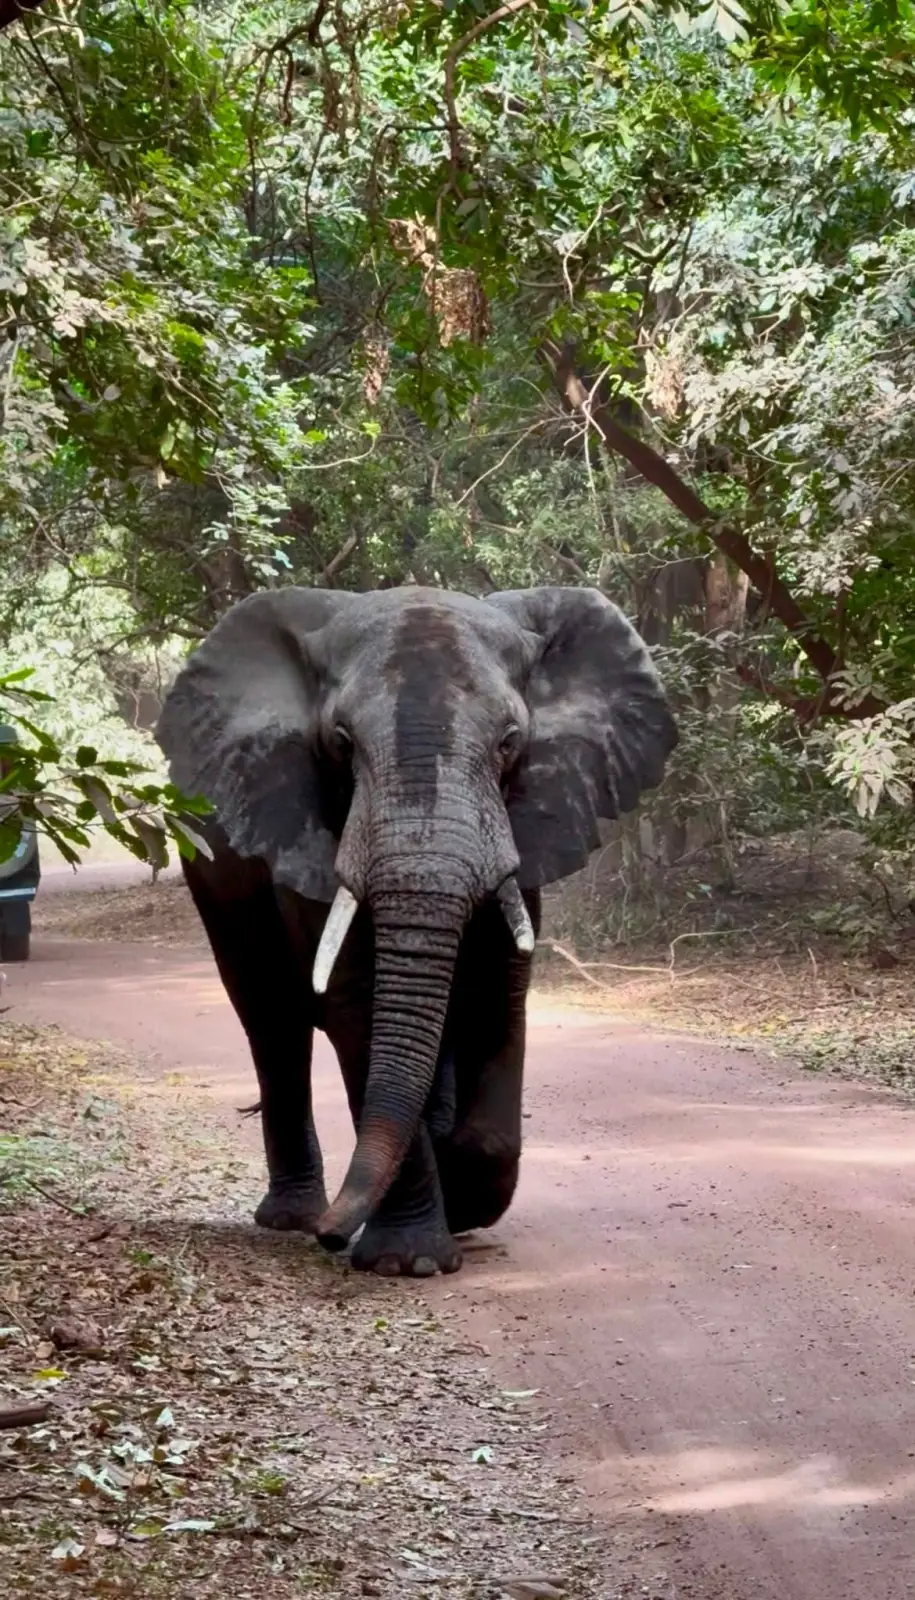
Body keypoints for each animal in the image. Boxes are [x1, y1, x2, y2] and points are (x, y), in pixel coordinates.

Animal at [156, 584, 677, 1276]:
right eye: (341, 743)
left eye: (510, 741)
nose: (333, 1237)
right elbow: (359, 1004)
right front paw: (409, 1261)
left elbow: (496, 994)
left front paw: (462, 1205)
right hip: (211, 872)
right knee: (272, 1022)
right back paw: (293, 1219)